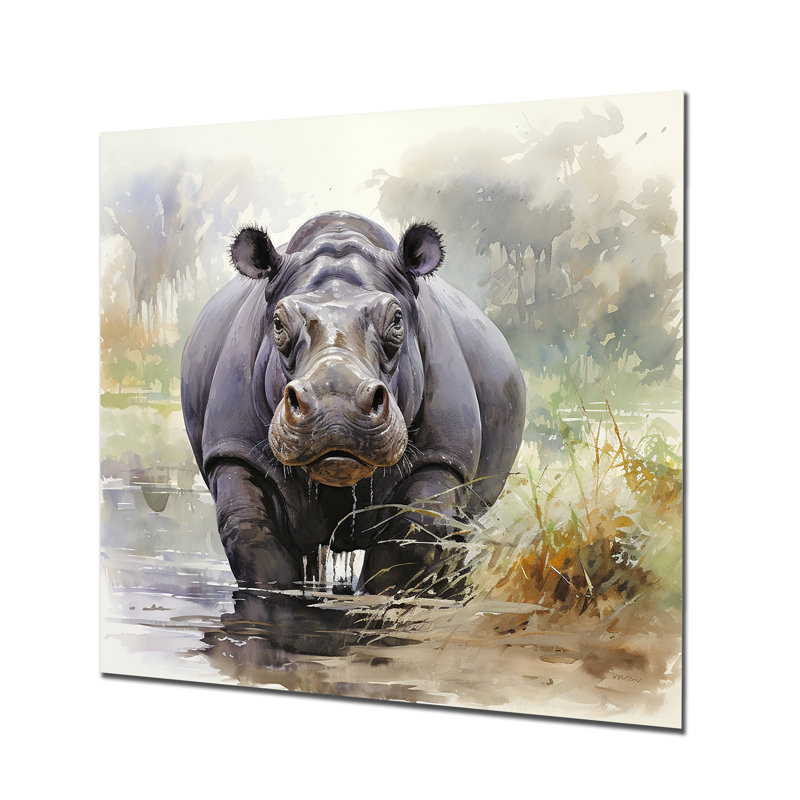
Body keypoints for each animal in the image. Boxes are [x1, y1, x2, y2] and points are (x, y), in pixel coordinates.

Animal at [181, 211, 525, 595]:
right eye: (277, 323)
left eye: (397, 320)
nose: (335, 409)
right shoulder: (235, 451)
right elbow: (256, 546)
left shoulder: (443, 458)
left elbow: (408, 543)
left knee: (460, 536)